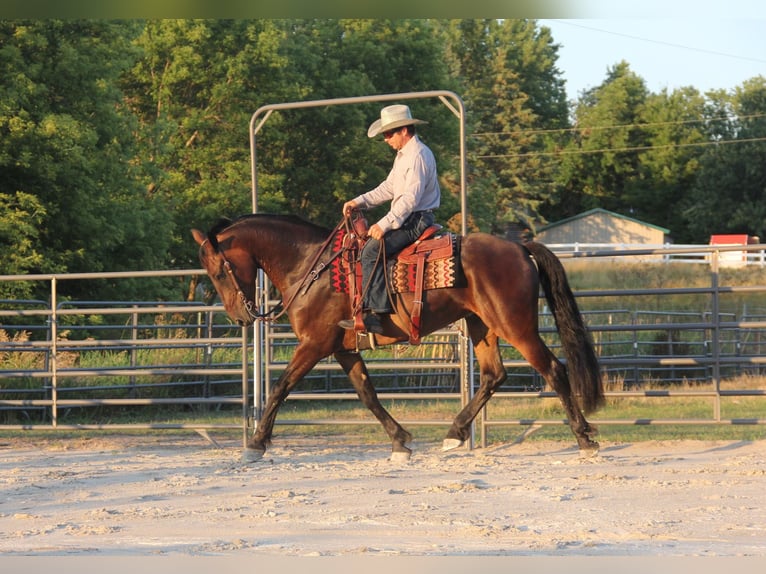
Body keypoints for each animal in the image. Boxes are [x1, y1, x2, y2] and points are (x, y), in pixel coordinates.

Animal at [194, 215, 608, 464]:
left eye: (219, 271)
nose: (240, 317)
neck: (311, 267)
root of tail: (520, 248)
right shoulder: (343, 349)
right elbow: (367, 394)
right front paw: (400, 440)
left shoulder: (314, 344)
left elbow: (280, 387)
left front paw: (255, 444)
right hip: (481, 325)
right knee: (494, 375)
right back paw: (455, 433)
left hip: (515, 325)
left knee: (553, 369)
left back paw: (585, 439)